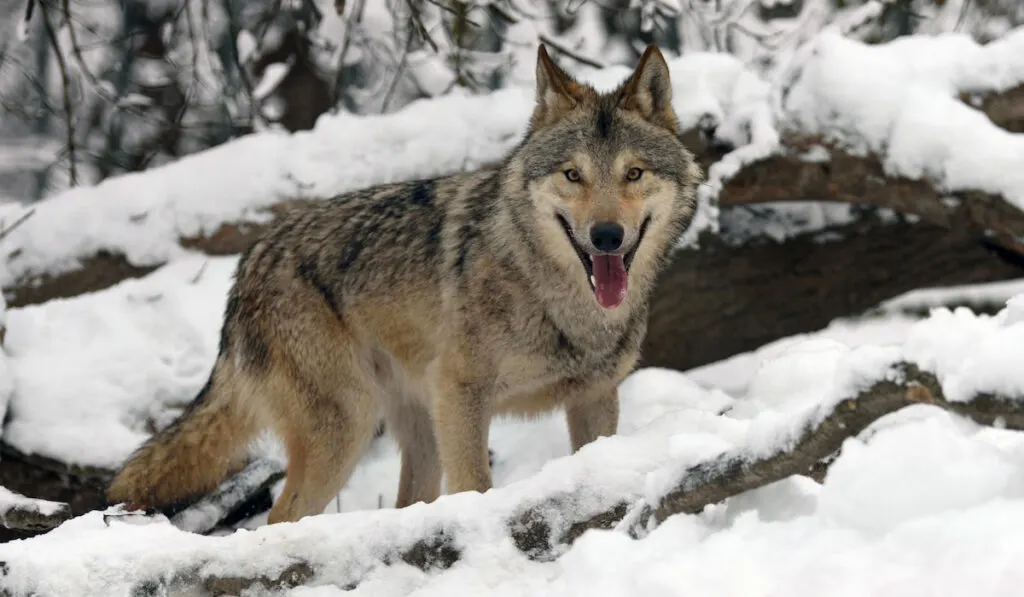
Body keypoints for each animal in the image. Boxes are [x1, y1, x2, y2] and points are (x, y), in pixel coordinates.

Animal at [110, 44, 704, 524]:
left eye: (633, 173)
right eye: (572, 175)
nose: (606, 236)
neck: (555, 299)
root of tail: (250, 260)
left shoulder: (595, 398)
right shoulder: (461, 394)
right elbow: (475, 486)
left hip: (412, 433)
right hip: (349, 428)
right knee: (276, 524)